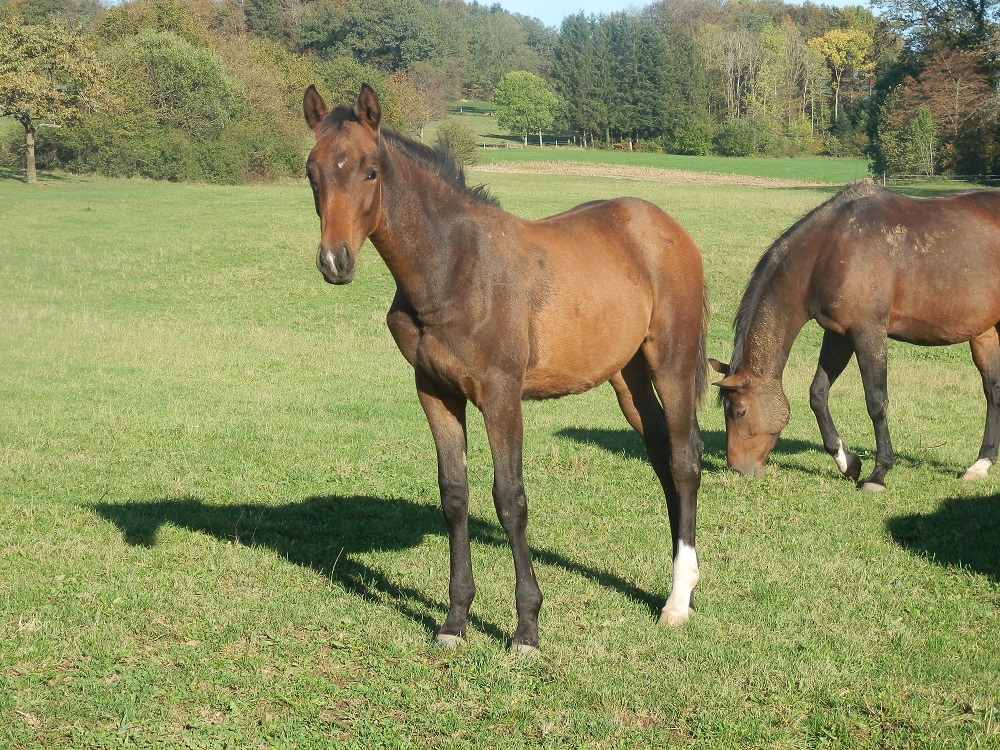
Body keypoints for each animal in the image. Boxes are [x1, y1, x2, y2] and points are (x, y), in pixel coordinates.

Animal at [303, 84, 710, 653]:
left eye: (370, 171)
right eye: (311, 171)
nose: (334, 261)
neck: (454, 269)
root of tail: (667, 227)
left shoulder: (500, 395)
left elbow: (509, 498)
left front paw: (526, 629)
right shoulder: (435, 392)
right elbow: (454, 495)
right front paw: (454, 622)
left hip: (672, 361)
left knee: (684, 460)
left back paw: (675, 603)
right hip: (627, 378)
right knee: (662, 456)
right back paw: (685, 589)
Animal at [710, 179, 1000, 491]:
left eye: (738, 412)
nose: (738, 469)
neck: (830, 250)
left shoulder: (868, 333)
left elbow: (876, 401)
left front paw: (878, 474)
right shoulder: (838, 335)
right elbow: (818, 394)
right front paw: (846, 462)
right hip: (985, 334)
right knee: (992, 391)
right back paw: (981, 464)